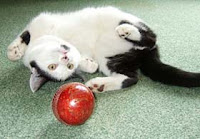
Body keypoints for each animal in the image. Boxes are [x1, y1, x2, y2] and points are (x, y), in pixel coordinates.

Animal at [7, 7, 200, 93]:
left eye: (51, 67)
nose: (66, 58)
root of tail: (148, 54)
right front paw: (87, 64)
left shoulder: (41, 21)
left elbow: (25, 34)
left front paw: (13, 51)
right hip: (111, 59)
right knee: (131, 77)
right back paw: (99, 84)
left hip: (122, 18)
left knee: (150, 37)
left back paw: (127, 31)